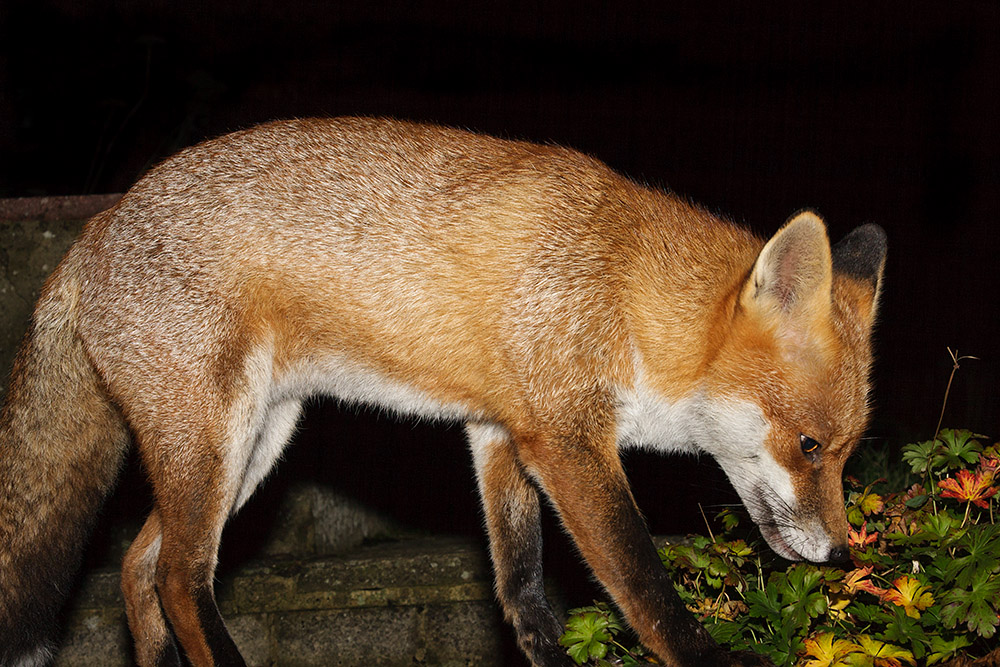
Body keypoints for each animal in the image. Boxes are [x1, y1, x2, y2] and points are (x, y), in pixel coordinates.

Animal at [0, 116, 885, 666]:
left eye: (846, 455)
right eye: (809, 445)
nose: (842, 554)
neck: (621, 287)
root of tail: (93, 230)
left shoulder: (499, 431)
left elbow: (521, 588)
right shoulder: (565, 439)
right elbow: (641, 578)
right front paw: (704, 653)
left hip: (253, 441)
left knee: (138, 567)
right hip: (214, 440)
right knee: (180, 579)